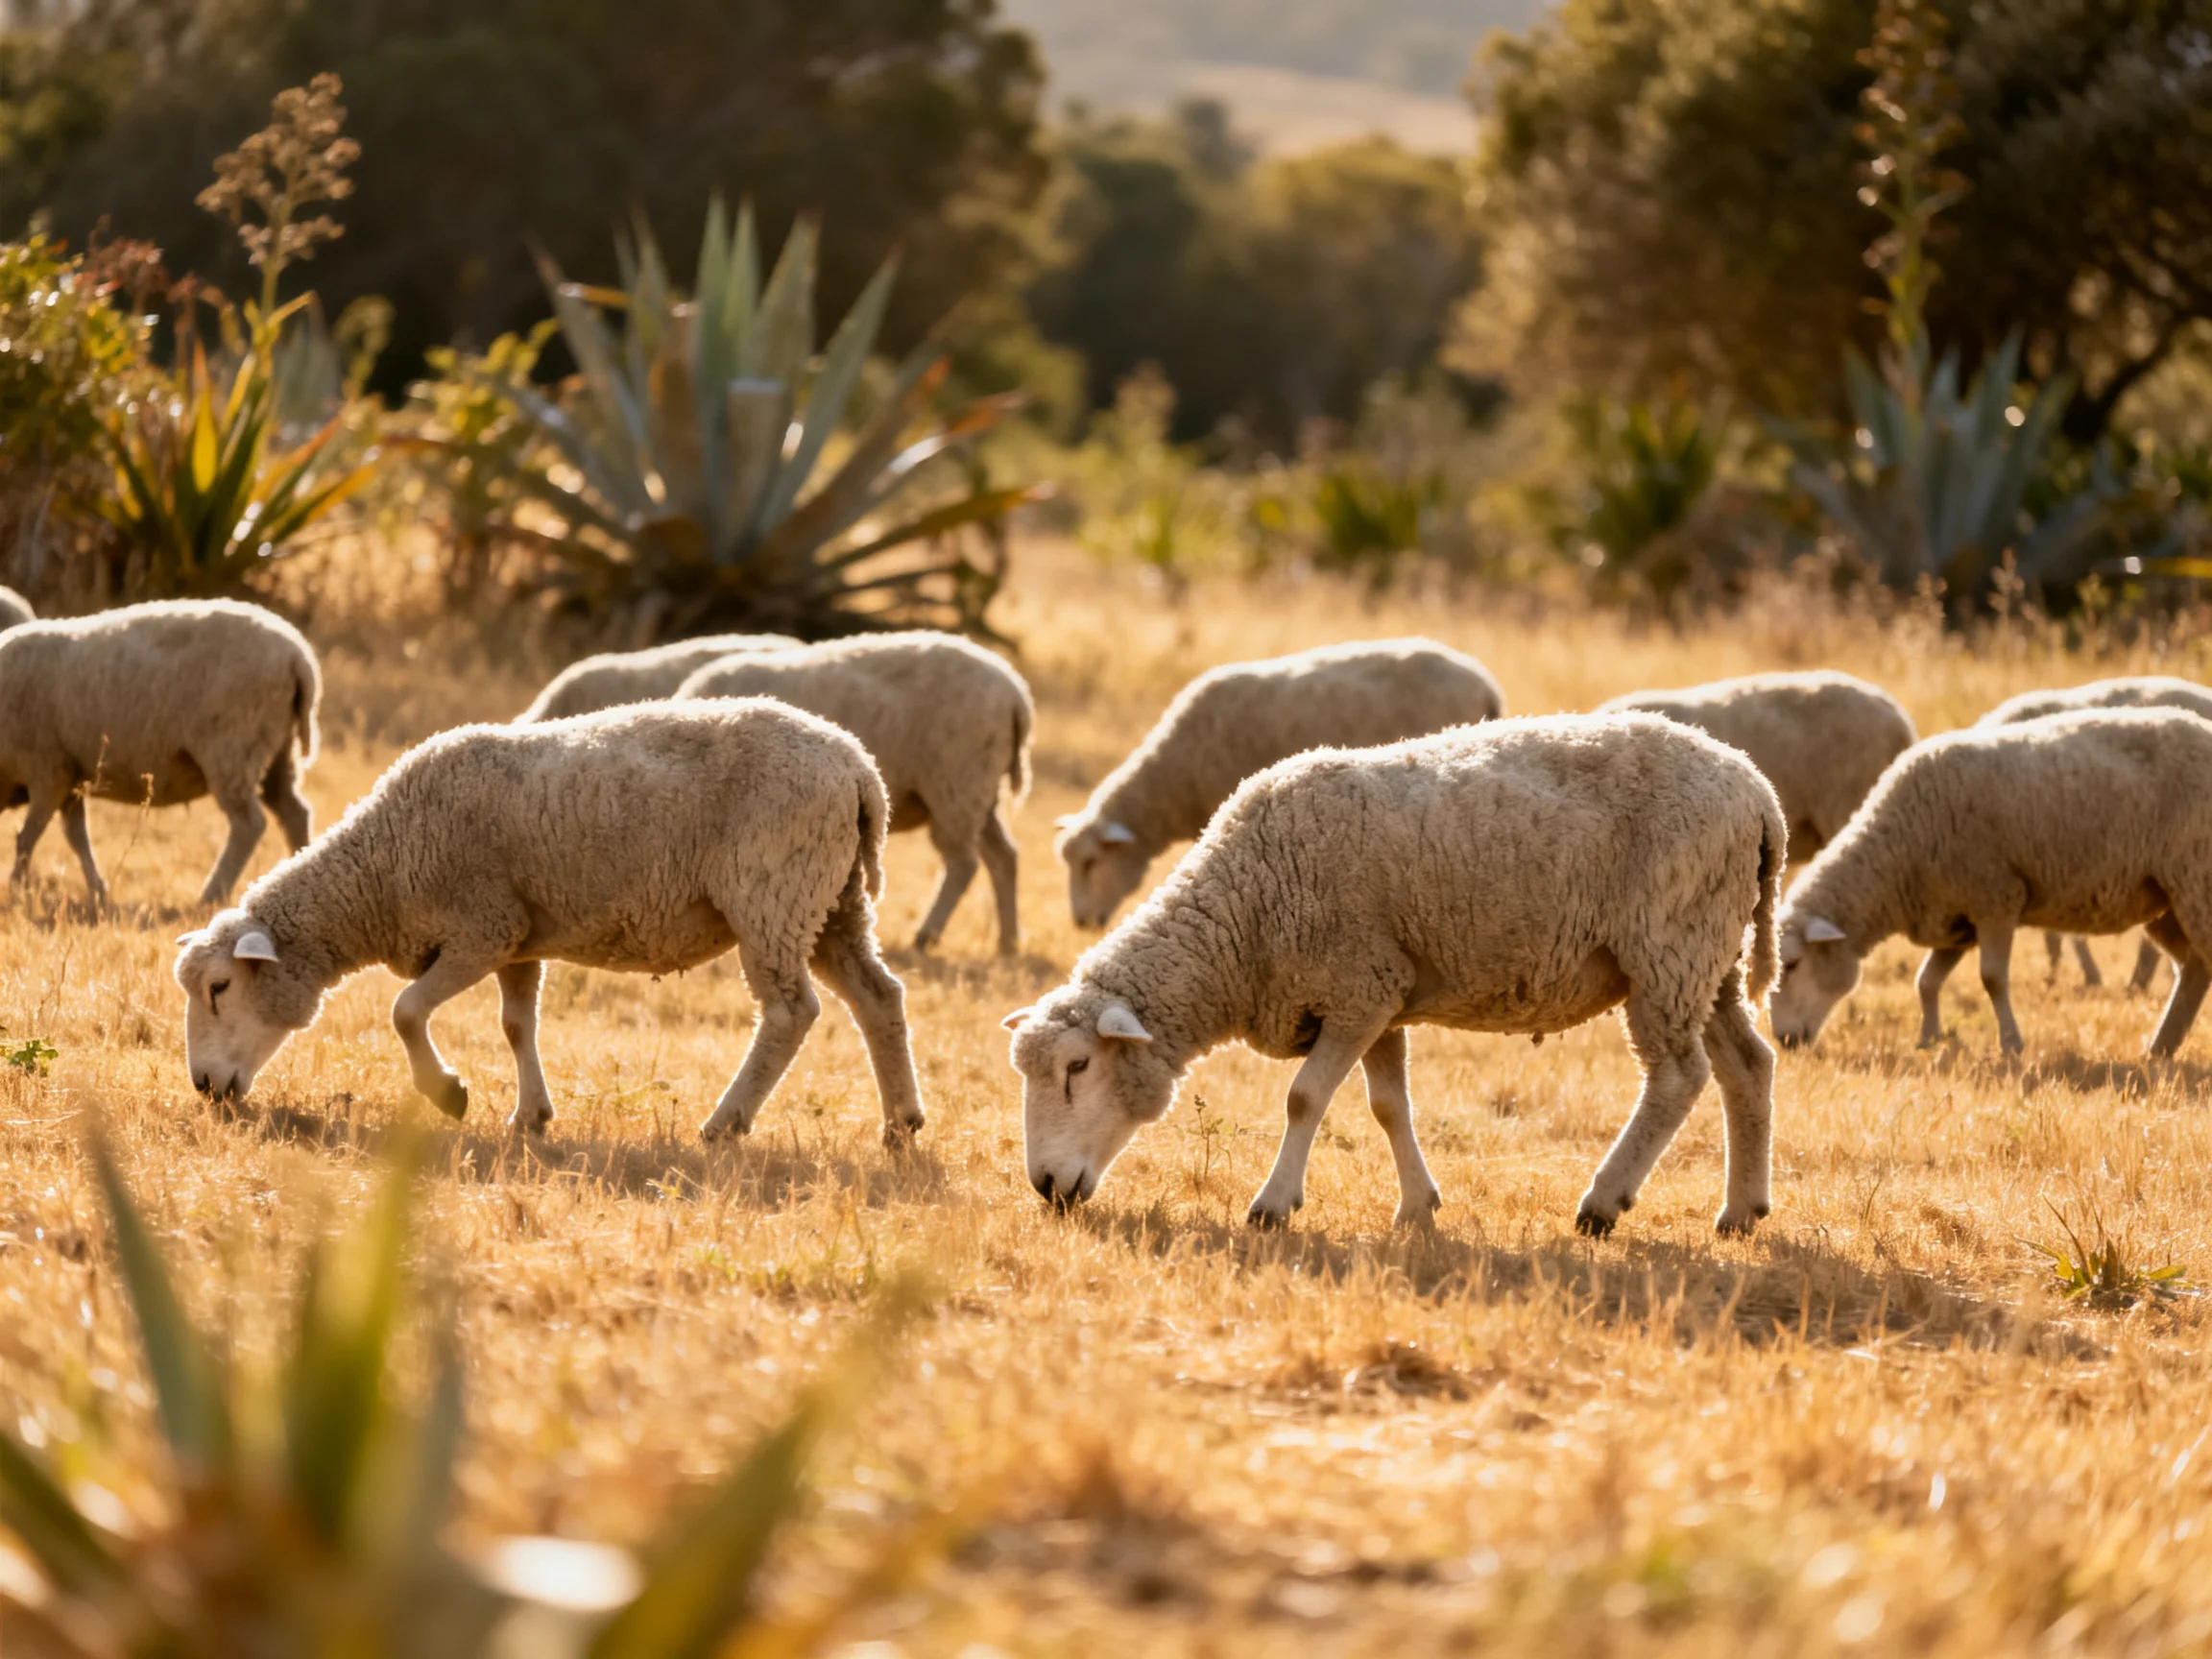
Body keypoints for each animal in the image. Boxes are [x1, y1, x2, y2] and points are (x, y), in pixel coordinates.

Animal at [2, 599, 320, 907]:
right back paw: (298, 869)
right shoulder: (72, 777)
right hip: (278, 751)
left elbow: (28, 837)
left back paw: (212, 894)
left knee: (249, 824)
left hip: (233, 749)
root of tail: (298, 658)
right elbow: (77, 837)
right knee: (294, 812)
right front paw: (98, 891)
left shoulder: (49, 771)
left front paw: (17, 889)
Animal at [173, 700, 926, 1144]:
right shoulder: (517, 937)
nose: (204, 1088)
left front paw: (447, 1093)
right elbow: (517, 1026)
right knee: (879, 997)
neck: (382, 871)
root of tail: (859, 769)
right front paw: (531, 1116)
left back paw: (725, 1122)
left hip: (774, 890)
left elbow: (405, 1011)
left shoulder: (481, 927)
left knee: (791, 1013)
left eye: (219, 988)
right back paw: (901, 1124)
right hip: (832, 900)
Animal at [677, 632, 1034, 955]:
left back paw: (927, 935)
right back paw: (1008, 941)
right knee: (1004, 856)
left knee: (963, 864)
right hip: (980, 789)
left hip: (956, 782)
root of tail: (1015, 693)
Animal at [1007, 714, 1785, 1238]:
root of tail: (1755, 788)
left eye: (1078, 1067)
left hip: (1669, 943)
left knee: (1678, 1077)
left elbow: (1304, 1098)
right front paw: (1417, 1207)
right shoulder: (1380, 993)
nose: (1045, 1186)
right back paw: (1741, 1211)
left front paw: (1273, 1205)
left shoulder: (1358, 985)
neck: (1243, 916)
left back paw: (1603, 1203)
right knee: (1748, 1065)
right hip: (1711, 957)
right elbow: (1389, 1107)